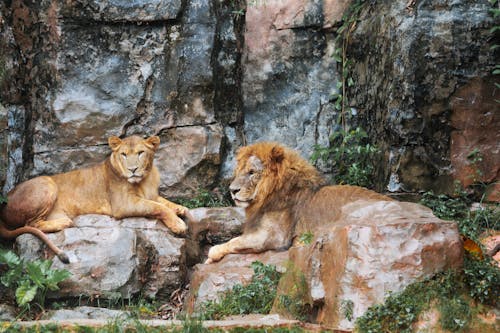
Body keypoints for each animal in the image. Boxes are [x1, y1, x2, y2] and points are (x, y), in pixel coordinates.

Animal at [0, 135, 192, 262]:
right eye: (123, 154)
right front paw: (178, 224)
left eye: (141, 152)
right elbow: (157, 207)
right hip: (47, 183)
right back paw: (64, 222)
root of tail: (3, 204)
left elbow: (163, 201)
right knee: (31, 224)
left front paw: (181, 208)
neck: (145, 179)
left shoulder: (150, 194)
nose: (133, 170)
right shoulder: (123, 204)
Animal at [205, 140, 392, 262]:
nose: (232, 190)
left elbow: (234, 241)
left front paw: (212, 254)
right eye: (239, 171)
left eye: (251, 172)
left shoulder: (274, 237)